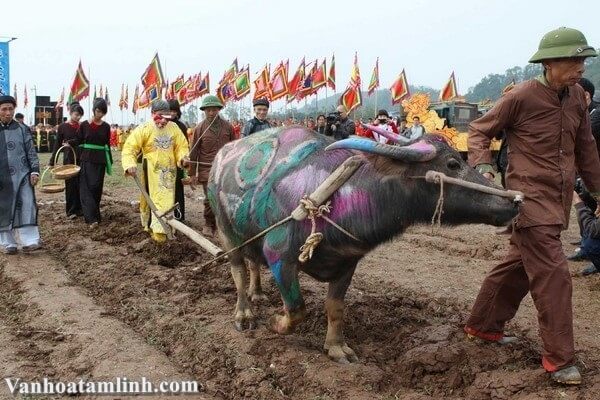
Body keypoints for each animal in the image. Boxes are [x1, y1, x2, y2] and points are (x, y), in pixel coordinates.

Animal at [206, 126, 516, 364]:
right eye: (452, 164)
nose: (513, 201)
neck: (335, 196)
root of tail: (220, 156)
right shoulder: (280, 258)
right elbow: (296, 308)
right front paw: (274, 322)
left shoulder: (348, 263)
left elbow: (335, 307)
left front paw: (336, 349)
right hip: (226, 233)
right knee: (238, 272)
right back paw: (244, 313)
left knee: (252, 264)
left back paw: (258, 294)